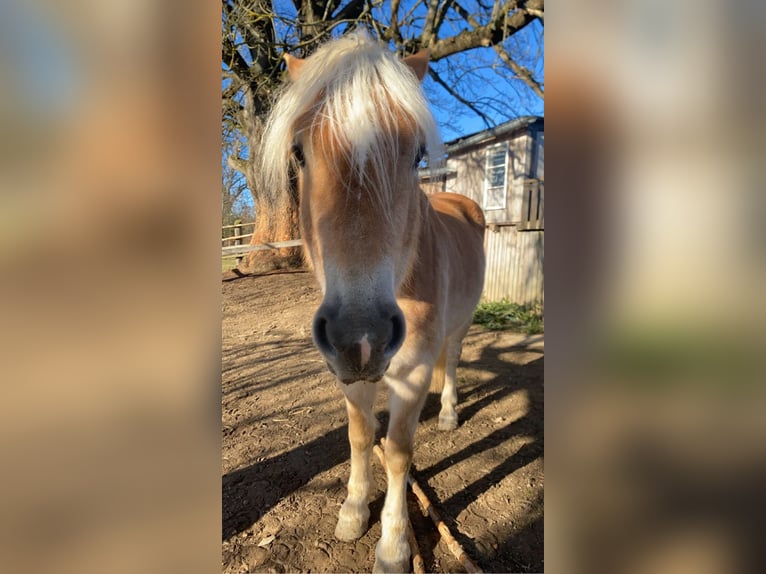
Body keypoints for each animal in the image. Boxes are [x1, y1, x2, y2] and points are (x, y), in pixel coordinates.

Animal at [260, 32, 486, 574]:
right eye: (298, 152)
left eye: (418, 153)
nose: (361, 337)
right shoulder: (349, 374)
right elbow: (361, 438)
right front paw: (352, 512)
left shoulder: (411, 373)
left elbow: (400, 452)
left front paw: (394, 544)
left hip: (460, 325)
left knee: (454, 359)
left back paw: (448, 414)